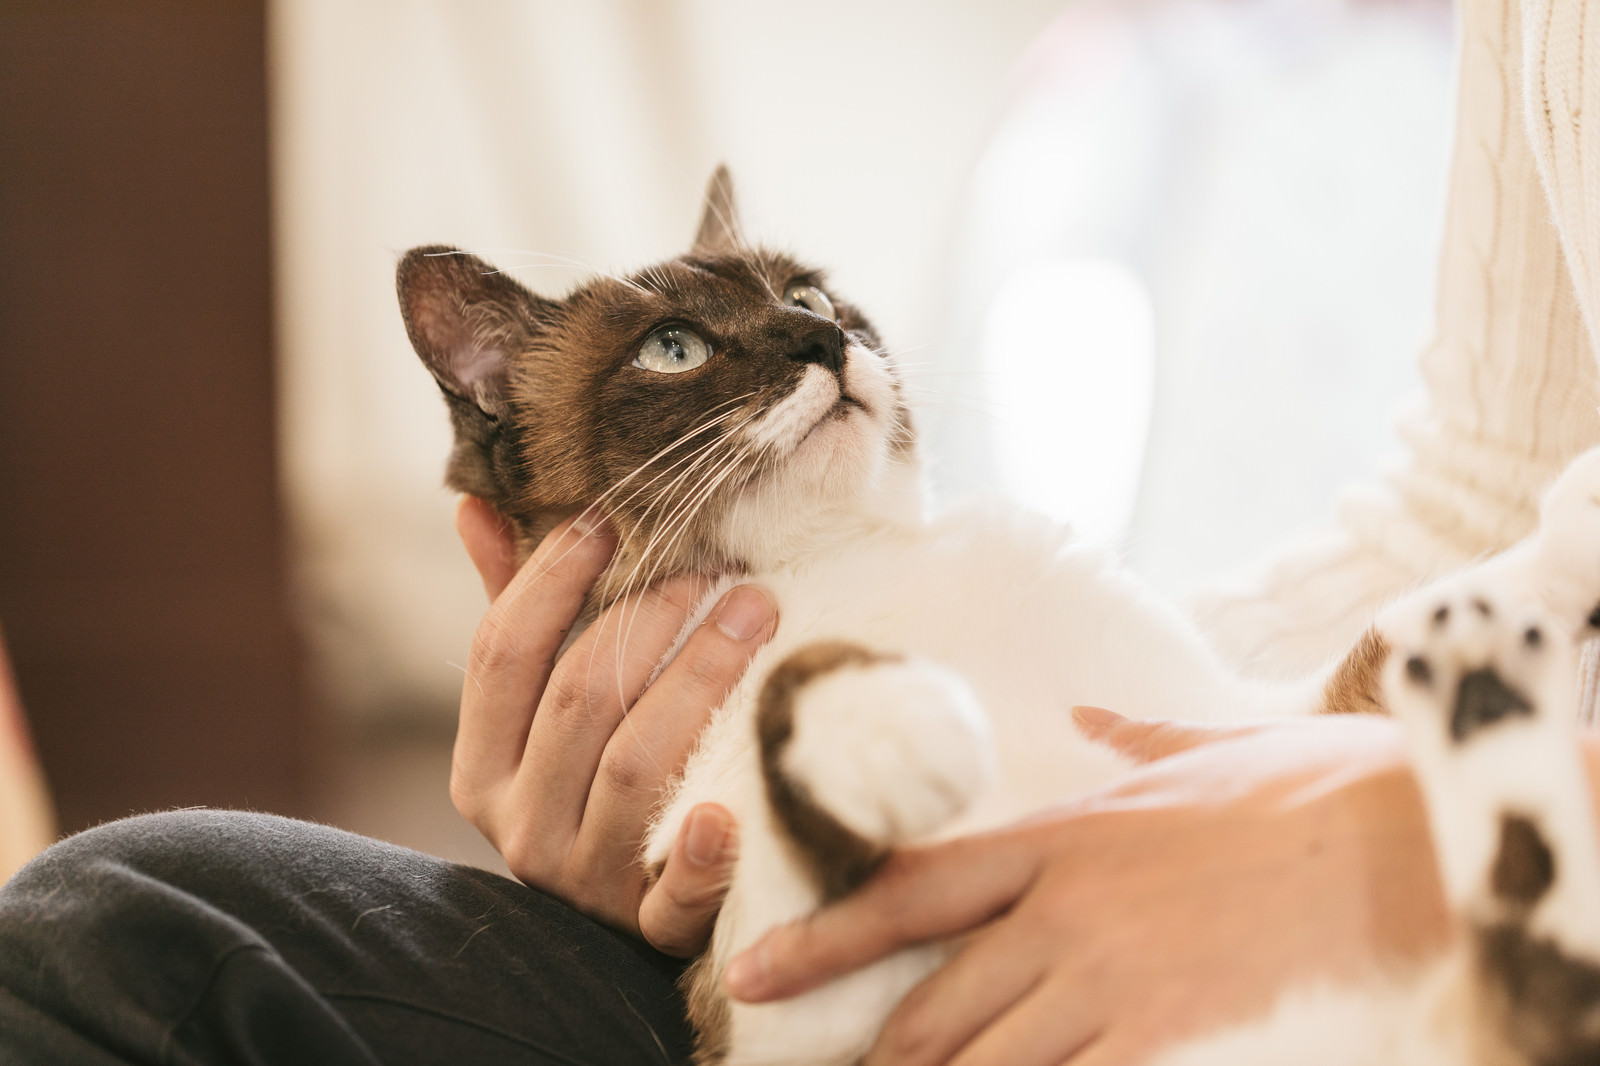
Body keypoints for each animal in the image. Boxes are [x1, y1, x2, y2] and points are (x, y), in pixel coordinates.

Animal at [396, 170, 1600, 1056]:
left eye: (809, 298)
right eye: (673, 348)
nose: (823, 346)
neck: (846, 560)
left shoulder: (1248, 726)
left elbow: (1419, 615)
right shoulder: (802, 1006)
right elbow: (797, 698)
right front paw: (884, 721)